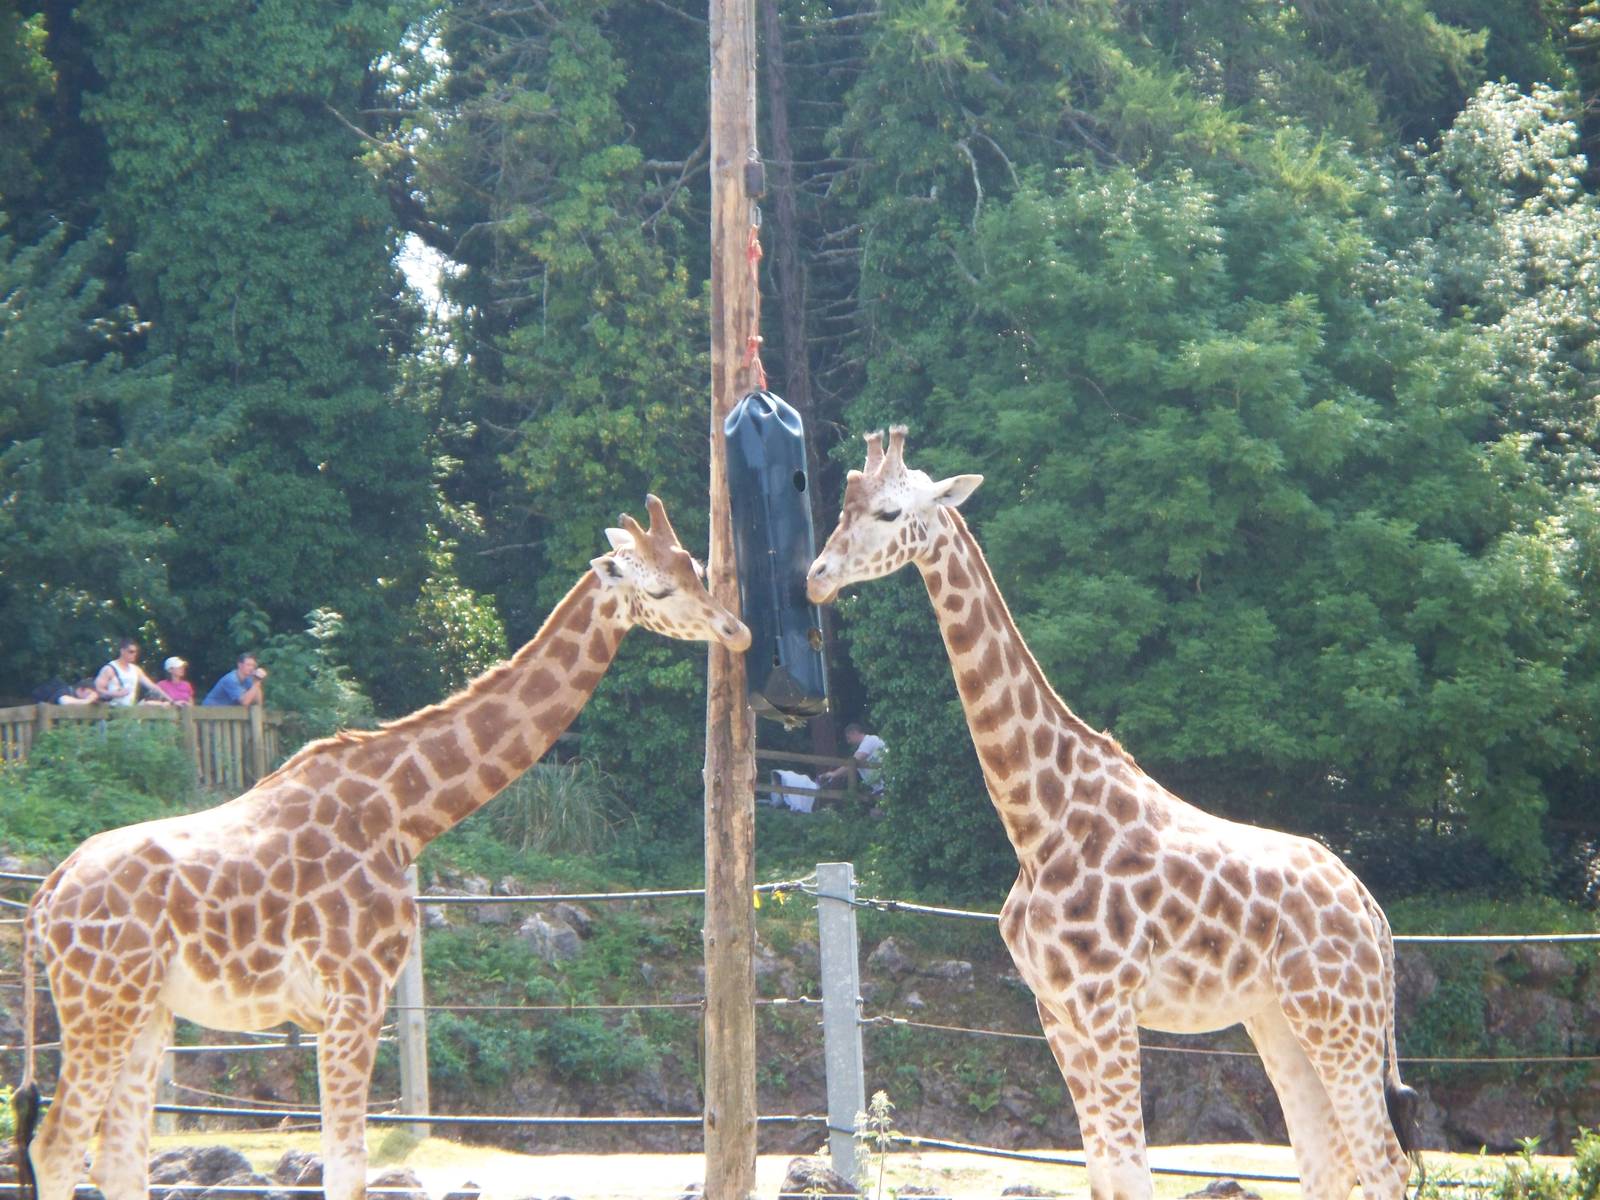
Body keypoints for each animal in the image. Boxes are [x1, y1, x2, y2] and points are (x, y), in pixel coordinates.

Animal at [13, 495, 749, 1200]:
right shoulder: (354, 995)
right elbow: (346, 1166)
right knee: (55, 1148)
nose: (735, 631)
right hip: (101, 1006)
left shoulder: (343, 1003)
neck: (405, 813)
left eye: (699, 569)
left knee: (117, 1159)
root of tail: (47, 895)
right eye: (659, 590)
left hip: (144, 1012)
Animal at [806, 429, 1421, 1200]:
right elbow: (1104, 1172)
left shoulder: (1105, 1006)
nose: (816, 577)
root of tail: (1372, 909)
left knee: (1383, 1163)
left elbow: (1133, 1171)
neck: (1038, 822)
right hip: (1278, 1019)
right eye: (841, 506)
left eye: (889, 513)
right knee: (1329, 1163)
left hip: (1340, 1017)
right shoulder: (1057, 1013)